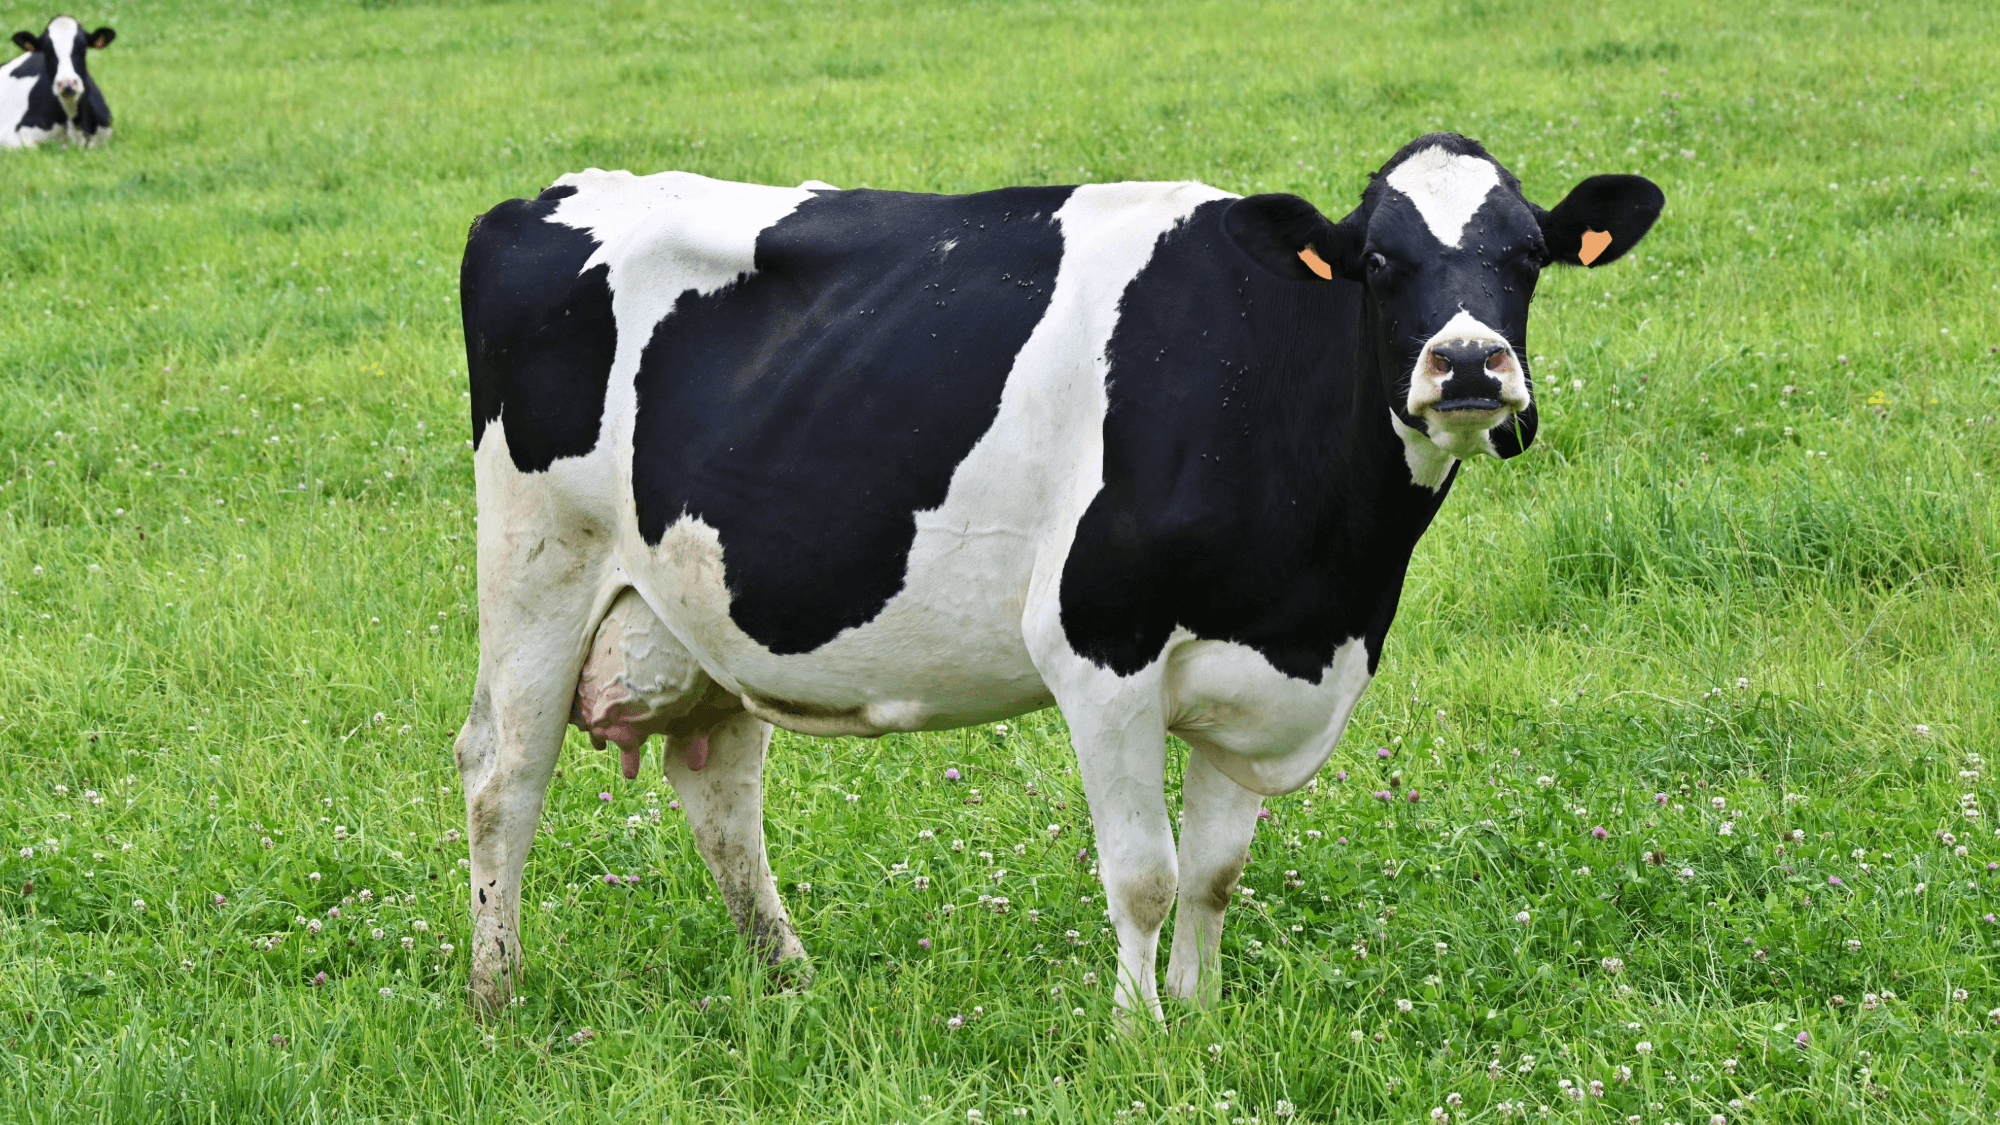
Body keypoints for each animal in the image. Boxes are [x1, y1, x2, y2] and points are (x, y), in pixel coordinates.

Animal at [454, 133, 1662, 1019]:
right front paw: (1138, 1032)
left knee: (717, 793)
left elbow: (1214, 873)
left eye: (1527, 255)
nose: (1466, 365)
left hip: (703, 612)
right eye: (1375, 261)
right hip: (537, 570)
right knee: (502, 777)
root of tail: (551, 193)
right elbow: (1145, 873)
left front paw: (1200, 1018)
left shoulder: (1265, 667)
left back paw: (790, 979)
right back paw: (496, 994)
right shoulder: (1100, 646)